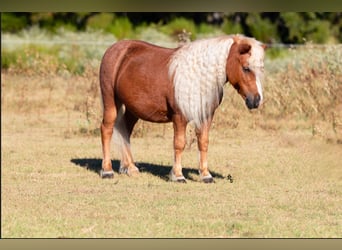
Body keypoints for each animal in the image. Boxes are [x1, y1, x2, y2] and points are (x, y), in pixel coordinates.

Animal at [97, 34, 266, 184]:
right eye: (246, 68)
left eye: (261, 70)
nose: (256, 100)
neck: (197, 78)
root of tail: (115, 49)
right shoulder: (179, 117)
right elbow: (179, 143)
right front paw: (178, 175)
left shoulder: (206, 116)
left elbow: (203, 142)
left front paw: (206, 175)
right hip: (111, 101)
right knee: (107, 129)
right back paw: (107, 170)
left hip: (133, 109)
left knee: (125, 131)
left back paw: (130, 167)